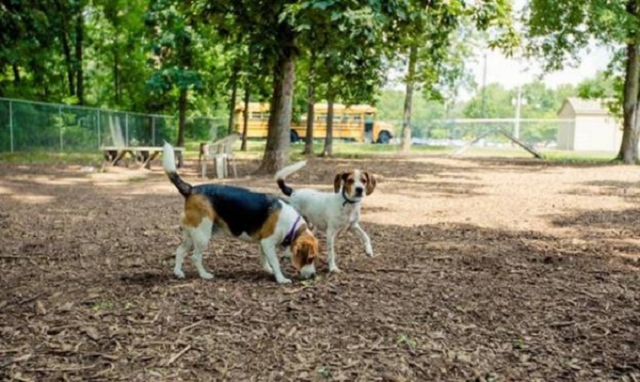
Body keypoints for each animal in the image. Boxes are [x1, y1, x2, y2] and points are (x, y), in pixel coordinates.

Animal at [162, 143, 318, 284]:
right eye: (310, 258)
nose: (313, 276)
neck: (292, 226)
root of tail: (191, 189)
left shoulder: (263, 244)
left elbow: (264, 259)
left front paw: (268, 270)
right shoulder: (268, 242)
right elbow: (275, 262)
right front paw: (281, 278)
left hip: (192, 235)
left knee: (179, 251)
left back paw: (178, 272)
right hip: (202, 236)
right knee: (195, 257)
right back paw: (204, 275)